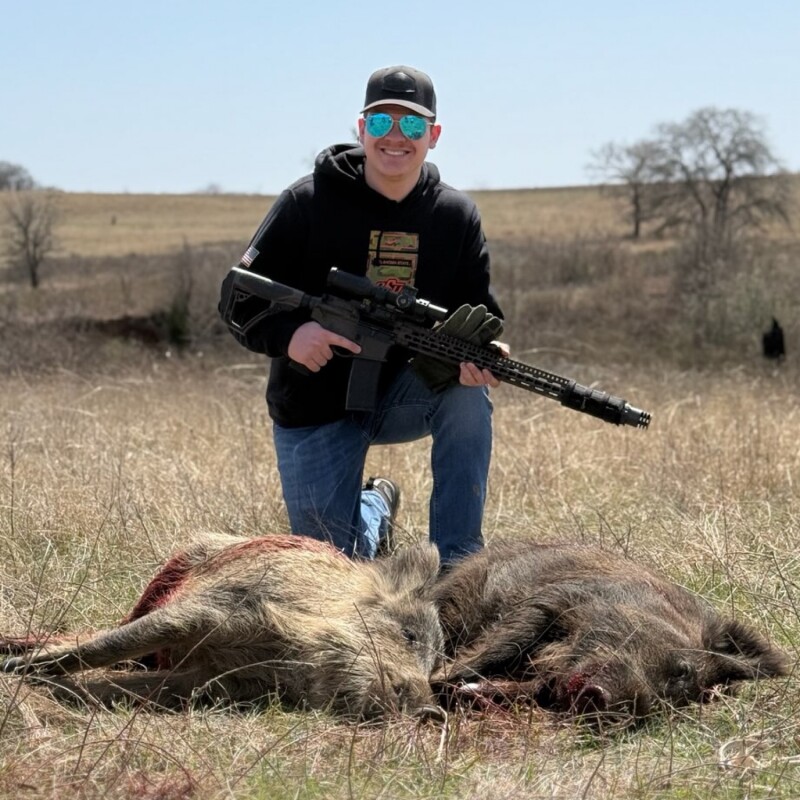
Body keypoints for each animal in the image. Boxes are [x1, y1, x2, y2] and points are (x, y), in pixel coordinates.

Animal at [2, 533, 445, 720]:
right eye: (408, 635)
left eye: (433, 669)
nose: (431, 712)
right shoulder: (204, 610)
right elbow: (101, 649)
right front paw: (17, 673)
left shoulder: (215, 681)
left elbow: (133, 686)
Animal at [431, 542, 789, 725]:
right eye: (682, 671)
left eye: (669, 707)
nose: (602, 703)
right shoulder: (552, 600)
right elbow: (502, 643)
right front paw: (438, 680)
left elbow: (524, 687)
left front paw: (467, 692)